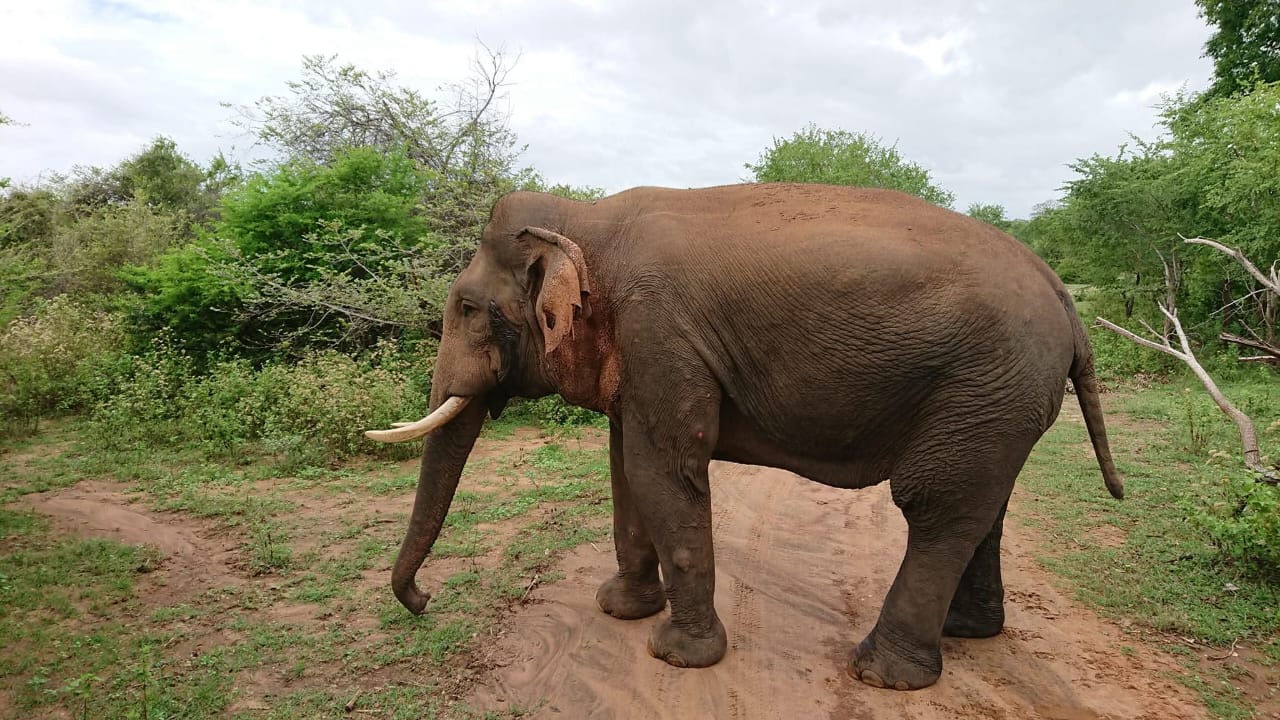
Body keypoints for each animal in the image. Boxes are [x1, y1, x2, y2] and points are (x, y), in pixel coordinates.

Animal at [365, 182, 1123, 691]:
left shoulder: (659, 331)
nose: (424, 603)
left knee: (935, 505)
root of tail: (1067, 301)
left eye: (468, 309)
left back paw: (880, 674)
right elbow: (626, 466)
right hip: (998, 401)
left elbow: (663, 468)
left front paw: (677, 655)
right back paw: (968, 634)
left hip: (986, 384)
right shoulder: (638, 353)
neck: (586, 217)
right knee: (983, 507)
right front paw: (621, 611)